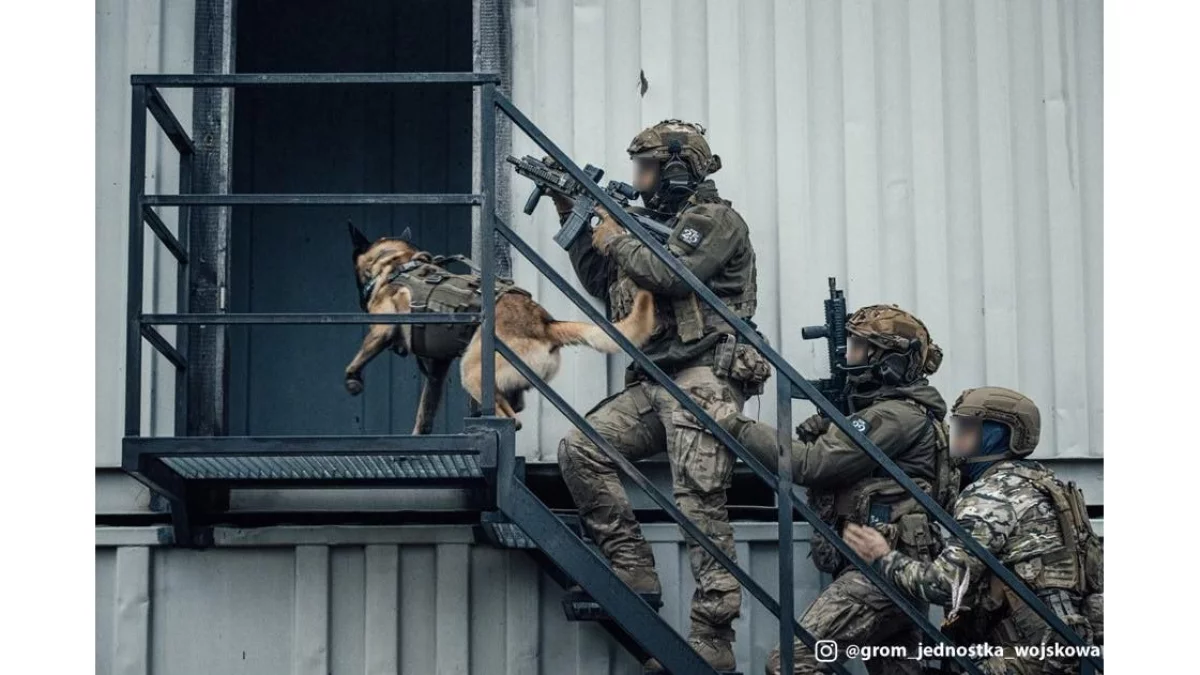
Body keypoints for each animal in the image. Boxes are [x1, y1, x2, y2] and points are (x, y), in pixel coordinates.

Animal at [343, 220, 657, 429]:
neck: (397, 264)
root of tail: (543, 323)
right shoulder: (436, 372)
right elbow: (424, 415)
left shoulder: (381, 329)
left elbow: (358, 358)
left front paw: (352, 379)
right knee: (512, 412)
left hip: (472, 371)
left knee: (510, 418)